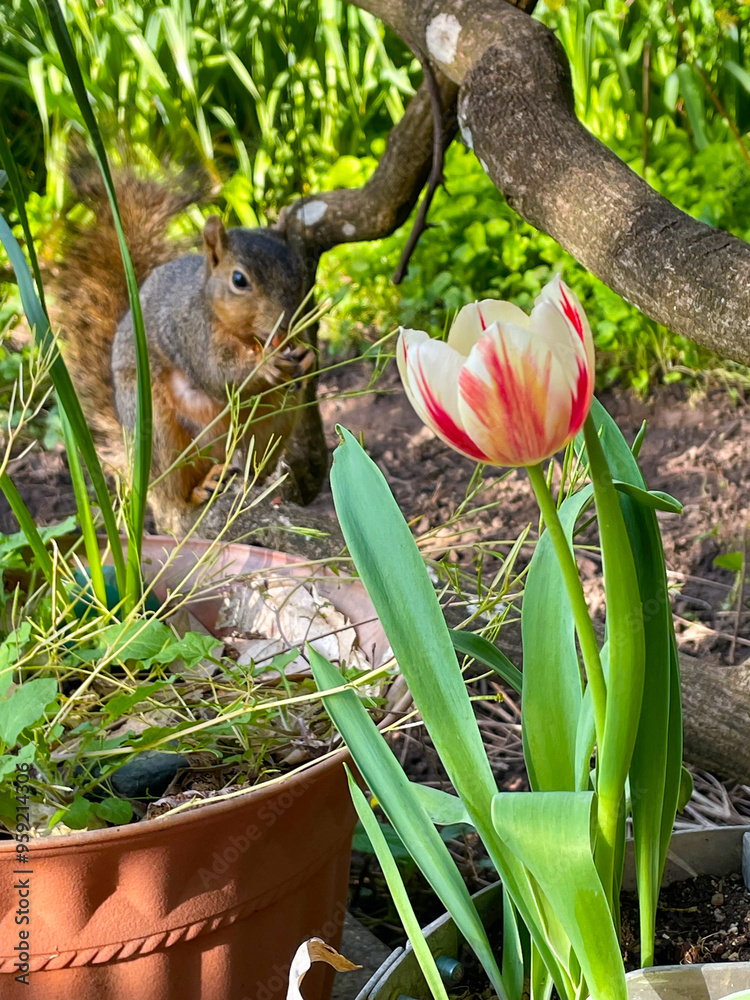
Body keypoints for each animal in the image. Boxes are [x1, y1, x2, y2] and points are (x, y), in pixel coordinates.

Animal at [52, 166, 328, 536]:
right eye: (239, 280)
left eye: (300, 272)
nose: (285, 324)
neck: (247, 336)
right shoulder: (189, 331)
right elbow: (216, 373)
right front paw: (265, 364)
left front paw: (307, 358)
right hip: (156, 429)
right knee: (174, 496)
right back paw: (198, 491)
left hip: (274, 422)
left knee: (257, 456)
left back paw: (255, 481)